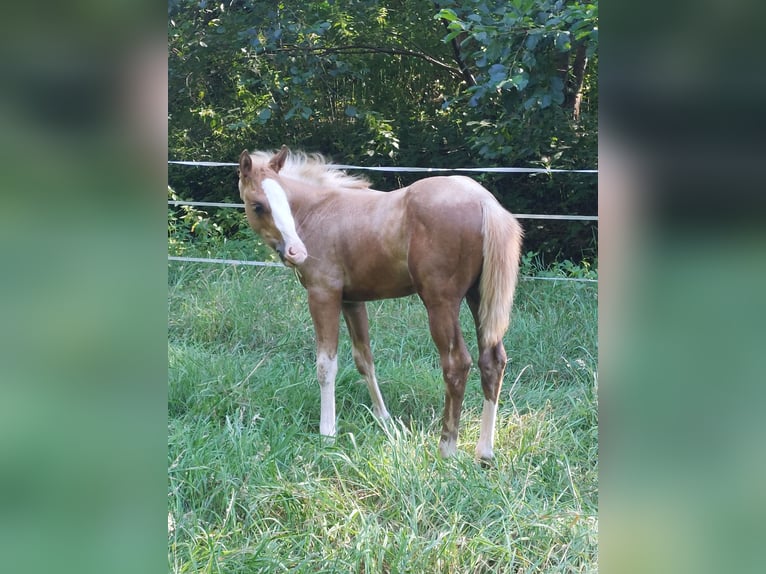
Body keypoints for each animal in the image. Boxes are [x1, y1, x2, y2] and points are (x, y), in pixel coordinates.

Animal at [238, 146, 523, 461]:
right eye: (258, 205)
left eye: (283, 202)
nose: (296, 252)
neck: (318, 210)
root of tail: (485, 201)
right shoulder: (352, 301)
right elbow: (364, 359)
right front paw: (383, 417)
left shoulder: (323, 294)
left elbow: (326, 365)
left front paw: (328, 432)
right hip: (478, 298)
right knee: (493, 361)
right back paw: (485, 452)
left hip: (441, 303)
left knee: (457, 364)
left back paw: (447, 447)